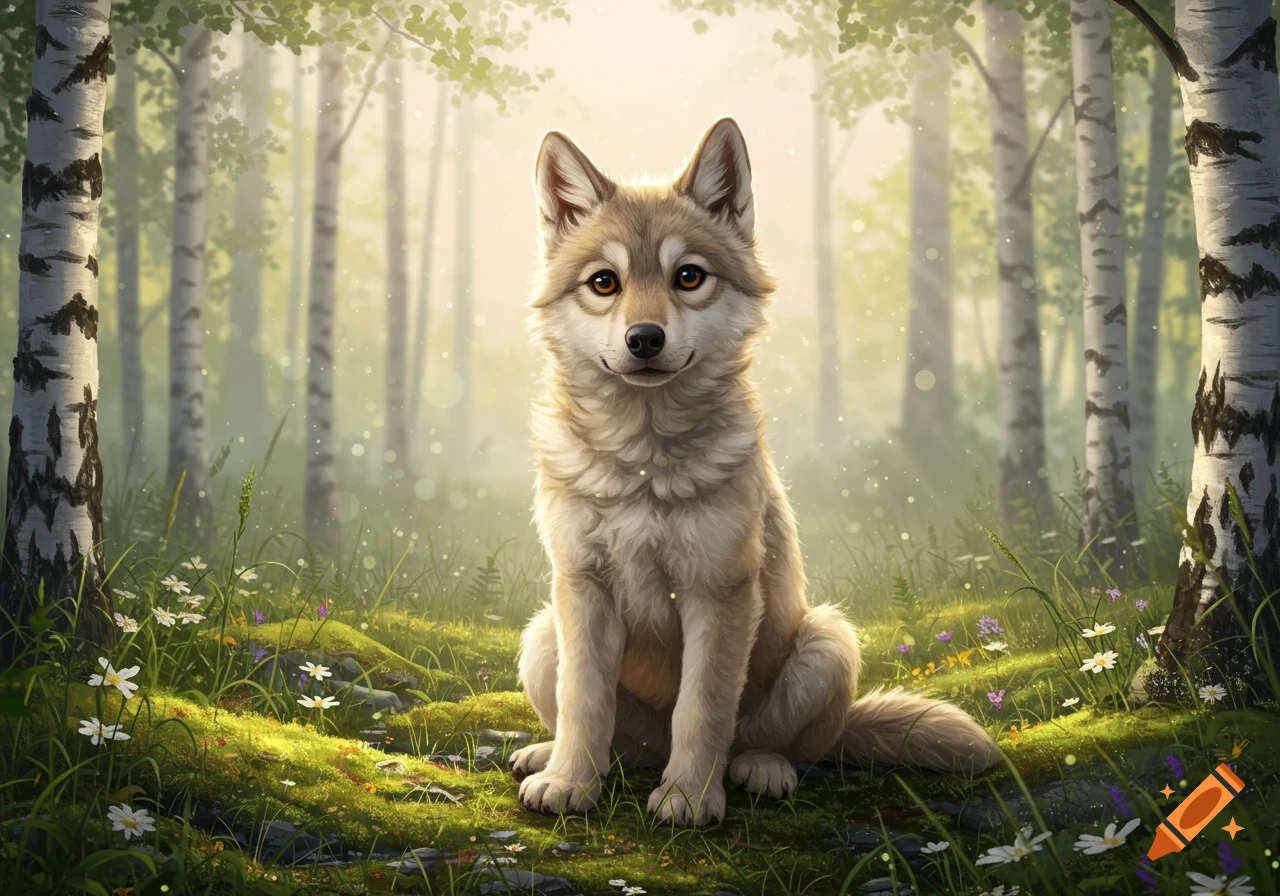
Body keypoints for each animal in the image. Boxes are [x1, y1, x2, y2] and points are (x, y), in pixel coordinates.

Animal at [511, 117, 999, 827]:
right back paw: (556, 758)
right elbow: (584, 703)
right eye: (604, 283)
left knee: (774, 744)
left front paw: (688, 797)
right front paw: (570, 782)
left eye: (689, 276)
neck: (644, 463)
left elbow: (703, 709)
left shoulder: (721, 592)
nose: (645, 339)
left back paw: (759, 771)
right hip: (542, 633)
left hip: (828, 642)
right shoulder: (581, 587)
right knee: (618, 743)